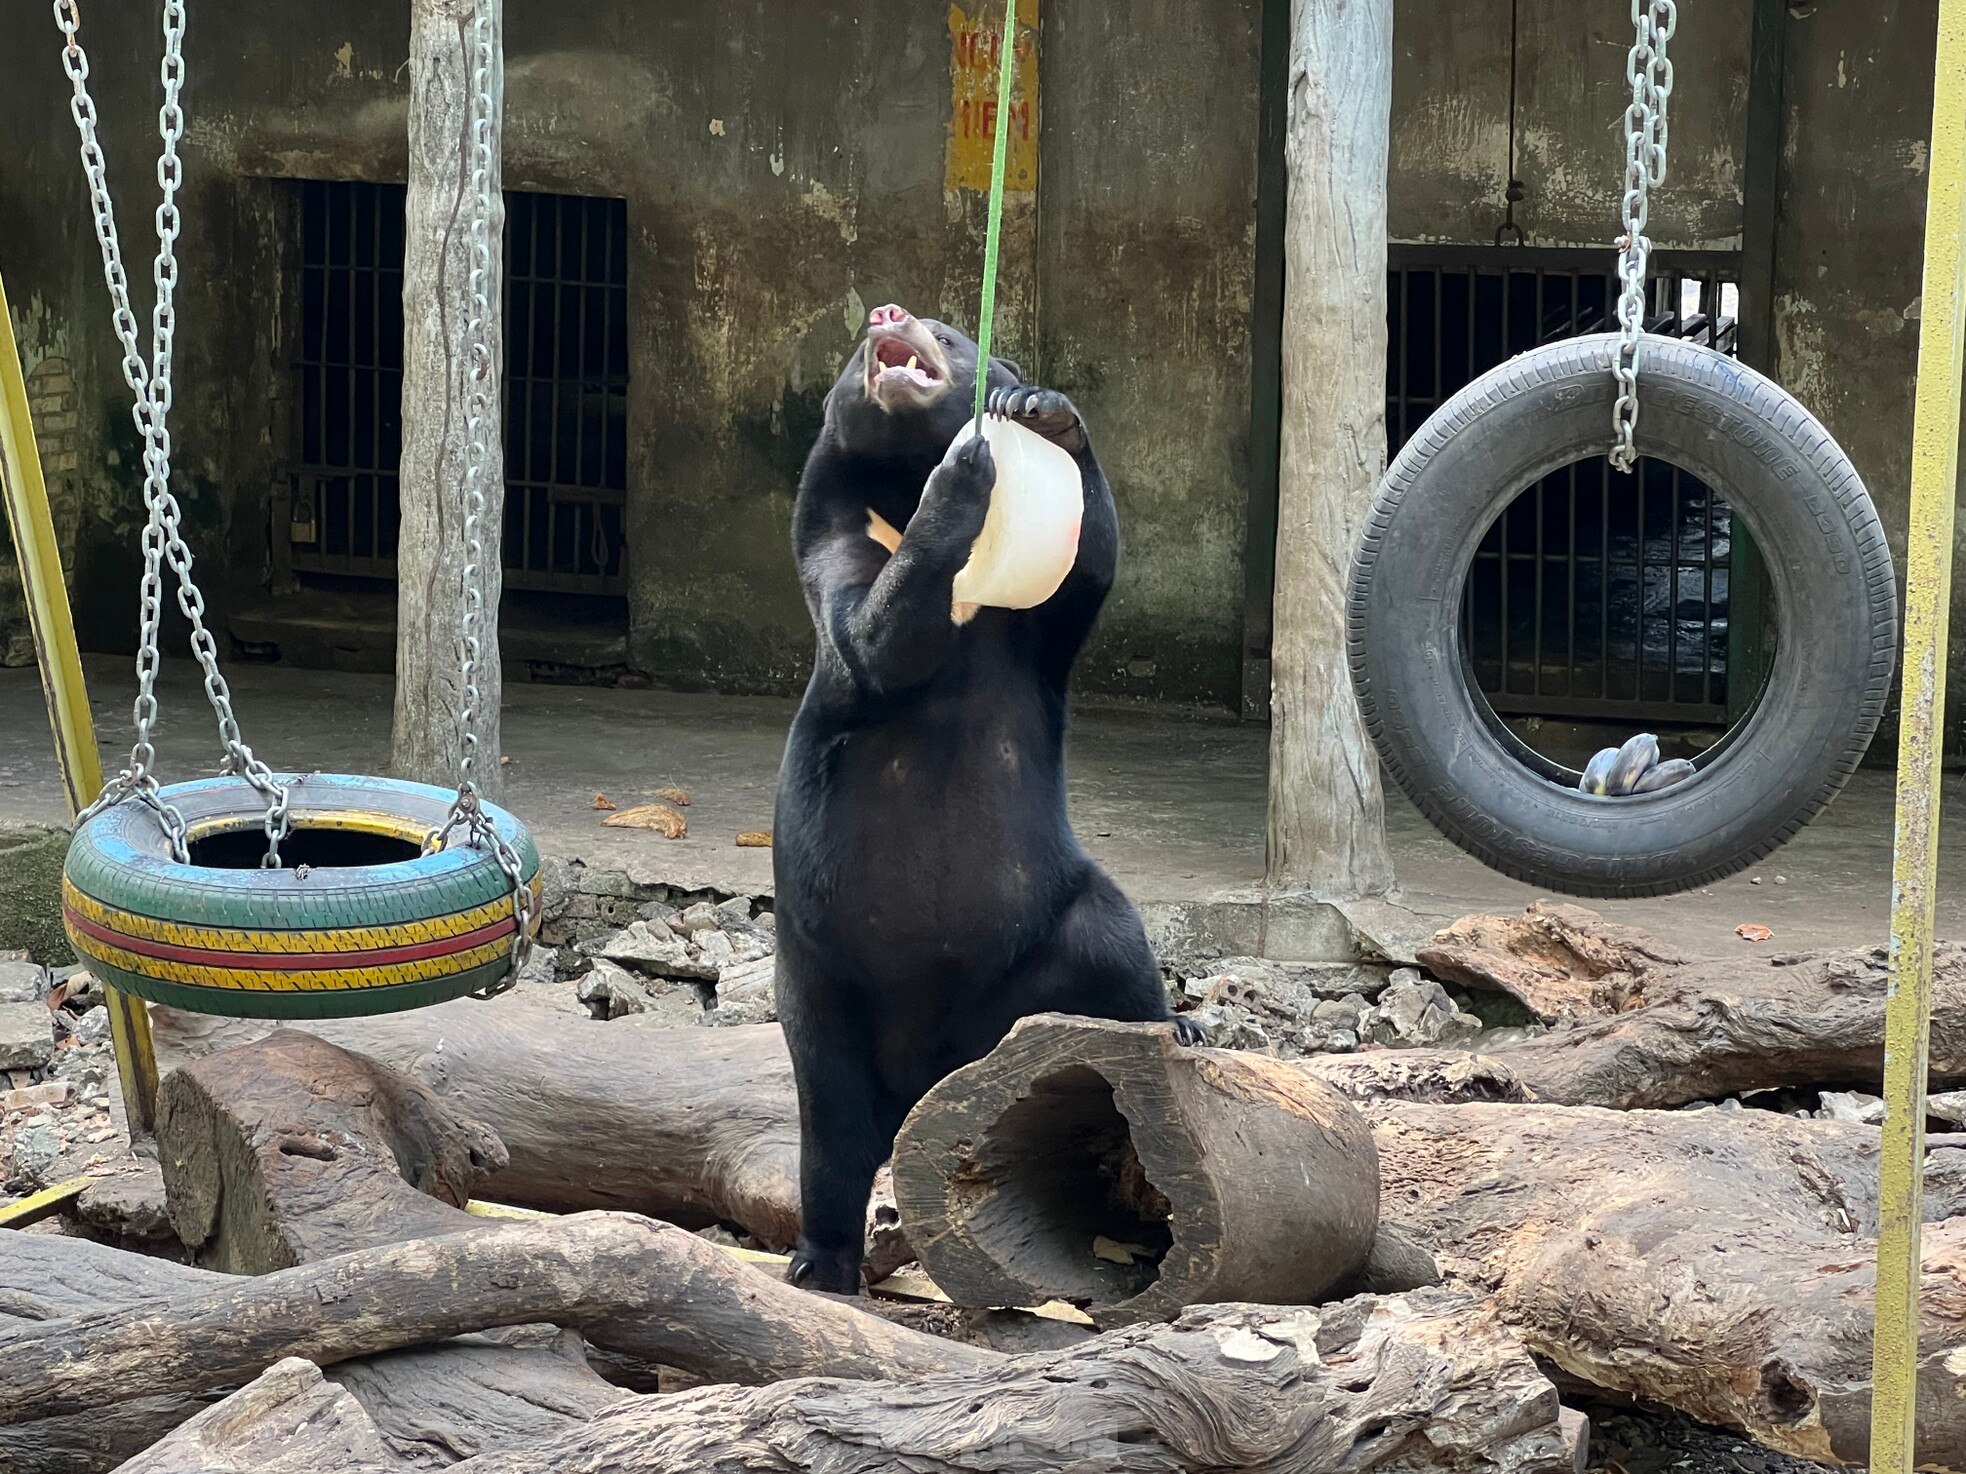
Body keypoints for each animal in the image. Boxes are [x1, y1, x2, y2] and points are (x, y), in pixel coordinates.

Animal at [770, 302, 1195, 1289]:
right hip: (819, 973)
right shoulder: (836, 535)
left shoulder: (1041, 631)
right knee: (831, 1129)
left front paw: (1041, 411)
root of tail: (927, 1076)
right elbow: (871, 634)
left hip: (1046, 942)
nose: (887, 314)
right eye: (859, 348)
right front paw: (964, 476)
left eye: (951, 333)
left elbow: (1088, 563)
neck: (896, 477)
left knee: (1117, 952)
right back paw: (820, 1263)